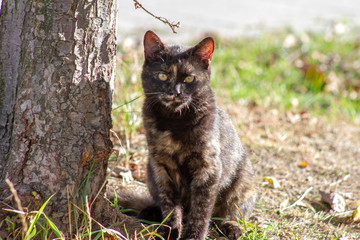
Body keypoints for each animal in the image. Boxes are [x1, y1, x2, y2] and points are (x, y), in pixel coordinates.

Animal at [120, 31, 256, 239]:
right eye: (162, 75)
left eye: (189, 79)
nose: (174, 92)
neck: (175, 121)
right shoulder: (161, 166)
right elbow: (169, 205)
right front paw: (170, 231)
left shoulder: (208, 168)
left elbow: (200, 210)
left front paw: (193, 235)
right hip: (150, 173)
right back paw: (149, 212)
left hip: (243, 182)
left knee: (232, 213)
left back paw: (233, 227)